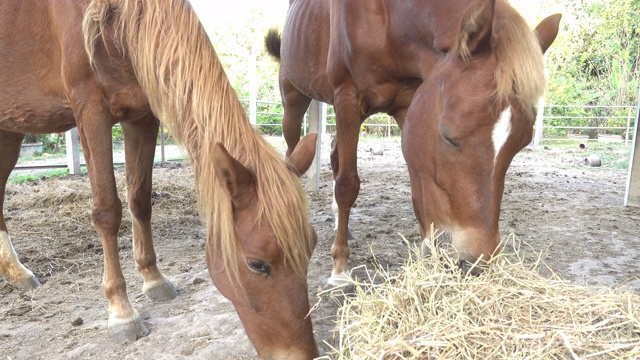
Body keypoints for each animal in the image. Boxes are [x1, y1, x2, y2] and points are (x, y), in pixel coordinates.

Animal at [0, 0, 320, 358]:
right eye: (257, 264)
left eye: (312, 247)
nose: (304, 354)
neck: (118, 21)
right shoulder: (91, 111)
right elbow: (107, 210)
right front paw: (121, 311)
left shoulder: (142, 116)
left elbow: (140, 199)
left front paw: (153, 279)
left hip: (9, 131)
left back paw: (16, 272)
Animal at [268, 0, 564, 286]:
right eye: (448, 135)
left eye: (521, 143)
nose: (476, 263)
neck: (388, 19)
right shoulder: (348, 99)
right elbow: (347, 185)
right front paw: (339, 268)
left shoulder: (407, 106)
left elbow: (417, 190)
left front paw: (427, 256)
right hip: (294, 100)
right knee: (293, 150)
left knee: (334, 153)